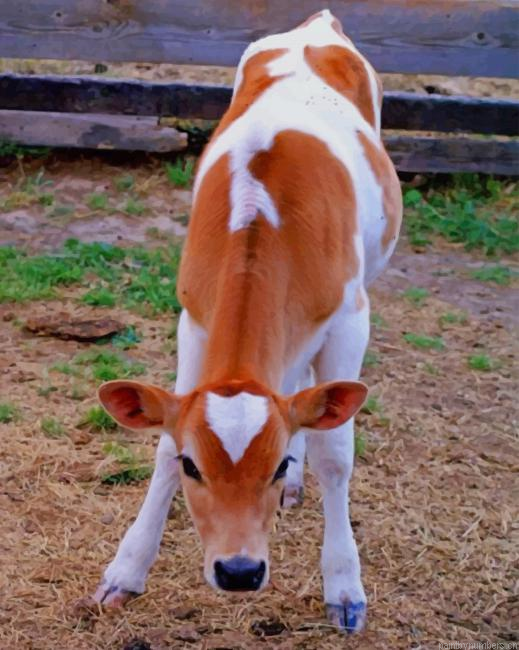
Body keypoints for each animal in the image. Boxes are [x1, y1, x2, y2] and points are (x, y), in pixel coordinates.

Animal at [92, 9, 402, 633]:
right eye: (193, 465)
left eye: (276, 464)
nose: (238, 571)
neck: (264, 221)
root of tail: (318, 21)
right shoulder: (193, 318)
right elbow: (162, 444)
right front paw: (127, 569)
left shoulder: (351, 319)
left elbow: (336, 452)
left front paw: (344, 585)